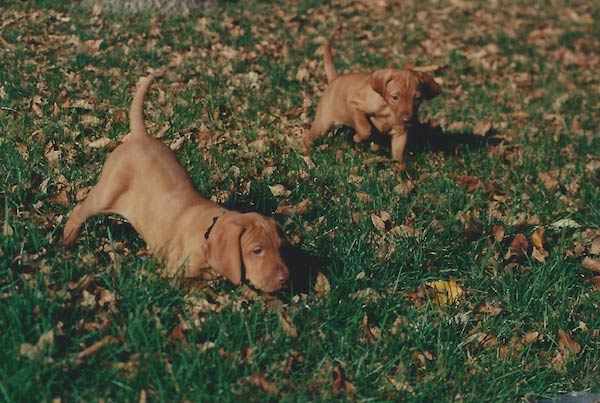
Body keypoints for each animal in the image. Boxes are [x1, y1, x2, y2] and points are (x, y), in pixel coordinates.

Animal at [64, 72, 290, 294]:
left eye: (280, 247)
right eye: (257, 250)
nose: (285, 279)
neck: (208, 231)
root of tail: (140, 135)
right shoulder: (175, 275)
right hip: (107, 193)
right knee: (79, 212)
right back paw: (66, 242)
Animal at [304, 39, 440, 163]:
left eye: (417, 98)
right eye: (395, 97)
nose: (408, 120)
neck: (388, 109)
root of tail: (334, 79)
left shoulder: (400, 133)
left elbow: (398, 156)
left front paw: (400, 171)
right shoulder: (356, 105)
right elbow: (366, 129)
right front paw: (357, 138)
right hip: (322, 124)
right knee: (308, 138)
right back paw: (306, 152)